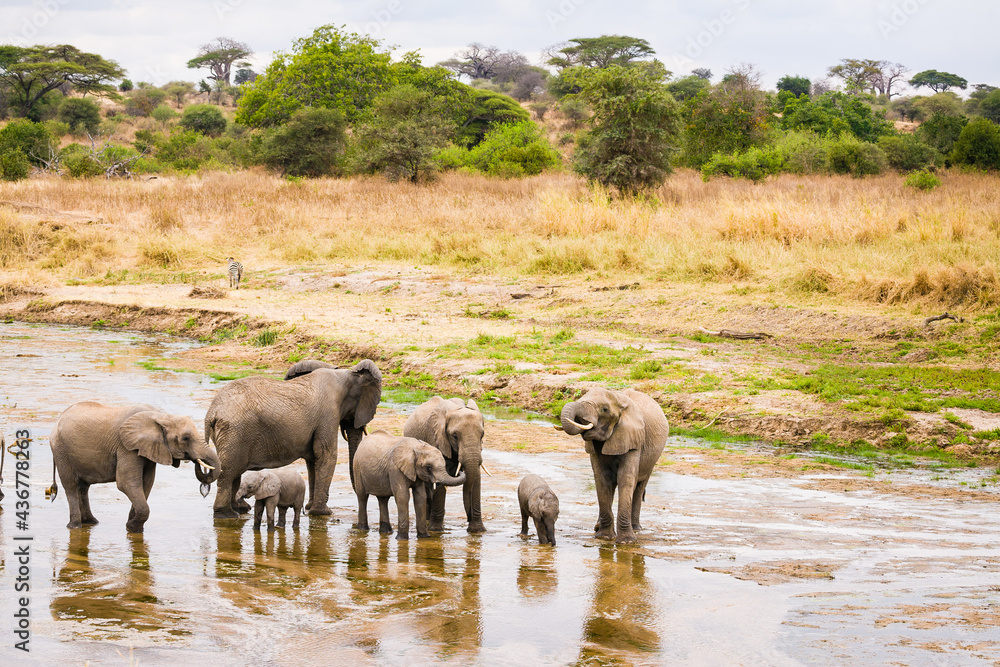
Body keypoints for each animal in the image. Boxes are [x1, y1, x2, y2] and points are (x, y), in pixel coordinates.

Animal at [49, 402, 220, 533]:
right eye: (186, 438)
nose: (196, 461)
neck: (161, 416)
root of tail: (58, 420)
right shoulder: (126, 447)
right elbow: (127, 483)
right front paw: (132, 527)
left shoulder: (149, 450)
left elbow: (146, 484)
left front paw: (133, 527)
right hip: (61, 450)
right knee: (71, 485)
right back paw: (75, 526)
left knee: (84, 487)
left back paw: (91, 522)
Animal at [206, 358, 382, 519]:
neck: (346, 374)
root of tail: (212, 412)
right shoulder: (329, 413)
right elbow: (326, 454)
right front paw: (323, 513)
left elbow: (313, 458)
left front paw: (310, 508)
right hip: (234, 432)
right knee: (228, 472)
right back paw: (227, 515)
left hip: (231, 434)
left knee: (234, 472)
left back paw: (240, 509)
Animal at [403, 397, 486, 533]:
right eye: (455, 436)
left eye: (482, 435)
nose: (468, 518)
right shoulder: (435, 438)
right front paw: (436, 530)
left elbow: (476, 478)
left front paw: (478, 530)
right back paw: (428, 520)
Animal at [559, 388, 669, 544]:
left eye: (604, 409)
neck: (618, 399)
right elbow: (602, 479)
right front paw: (604, 537)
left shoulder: (634, 440)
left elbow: (626, 479)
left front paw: (626, 542)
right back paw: (598, 527)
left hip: (651, 461)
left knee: (639, 487)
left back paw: (636, 528)